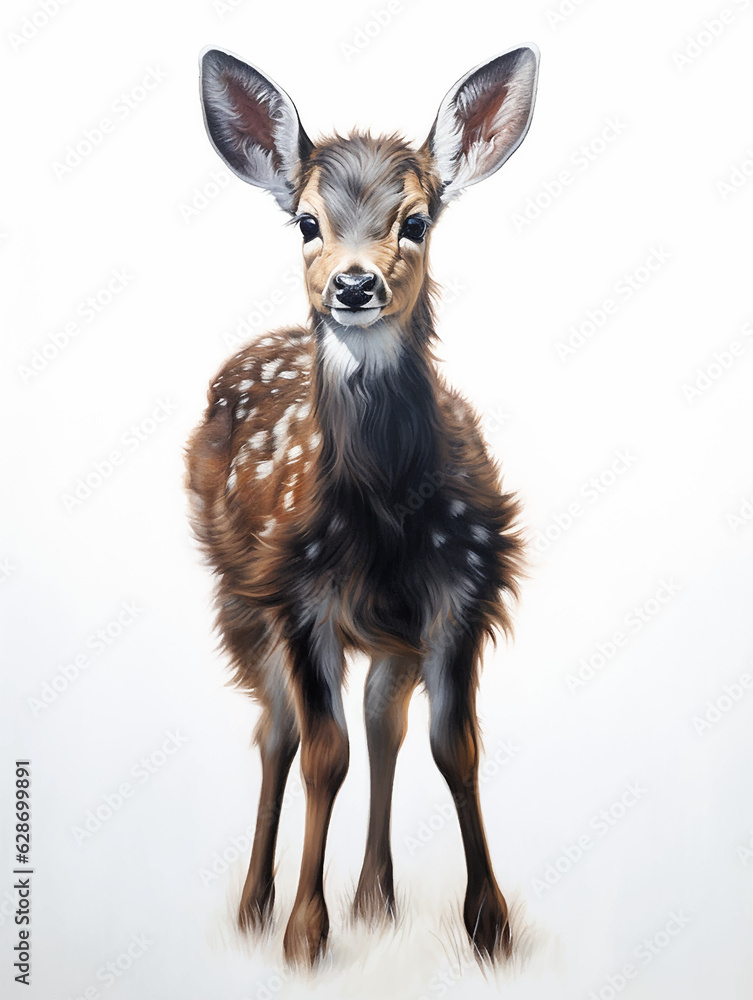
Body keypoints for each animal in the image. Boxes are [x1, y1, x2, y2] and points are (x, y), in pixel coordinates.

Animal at [186, 44, 539, 968]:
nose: (353, 285)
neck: (386, 510)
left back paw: (376, 898)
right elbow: (323, 755)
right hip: (237, 595)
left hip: (388, 630)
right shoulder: (295, 590)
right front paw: (305, 934)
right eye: (307, 222)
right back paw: (256, 906)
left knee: (384, 719)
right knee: (277, 732)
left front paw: (490, 925)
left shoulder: (462, 586)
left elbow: (454, 747)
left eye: (414, 221)